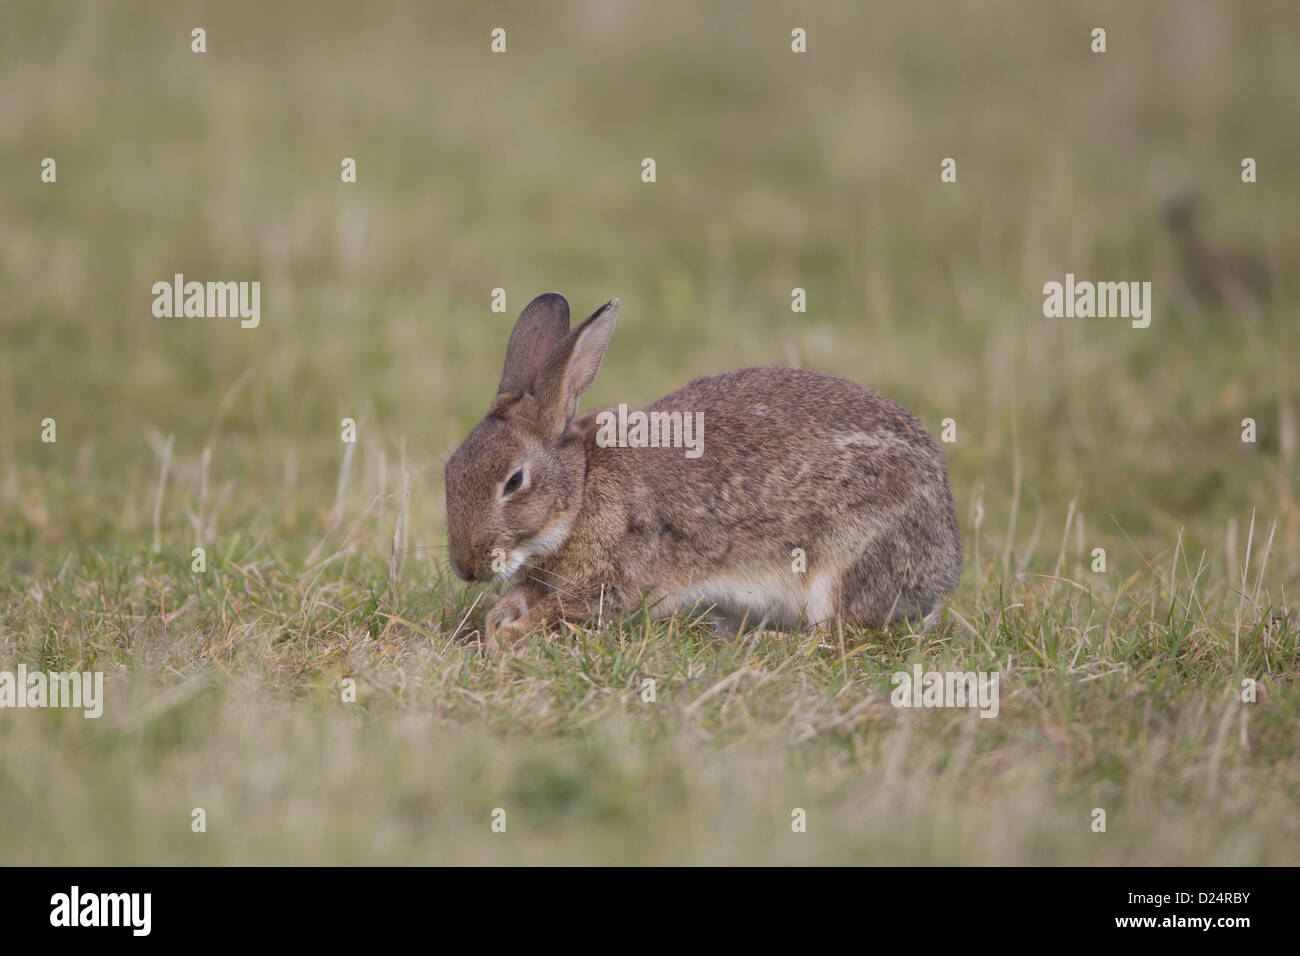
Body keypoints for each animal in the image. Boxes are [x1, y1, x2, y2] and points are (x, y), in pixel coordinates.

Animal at [444, 292, 961, 650]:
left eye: (514, 481)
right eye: (450, 470)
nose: (466, 568)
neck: (580, 488)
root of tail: (945, 565)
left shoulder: (616, 578)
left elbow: (567, 608)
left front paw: (510, 637)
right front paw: (497, 623)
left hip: (844, 562)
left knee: (840, 629)